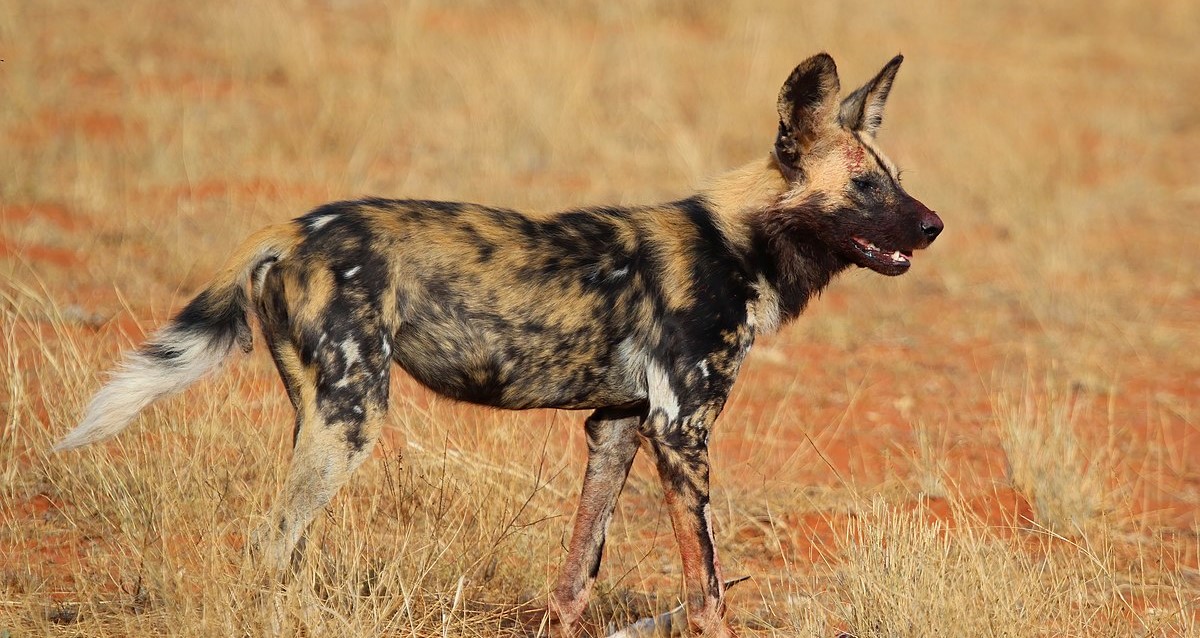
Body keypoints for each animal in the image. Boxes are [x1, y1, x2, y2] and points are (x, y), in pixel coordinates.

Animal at [56, 54, 936, 638]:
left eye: (895, 176)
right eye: (866, 187)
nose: (933, 225)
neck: (740, 242)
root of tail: (293, 226)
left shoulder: (619, 428)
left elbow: (578, 572)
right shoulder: (681, 431)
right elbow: (708, 591)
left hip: (320, 413)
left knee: (285, 544)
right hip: (352, 418)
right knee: (270, 544)